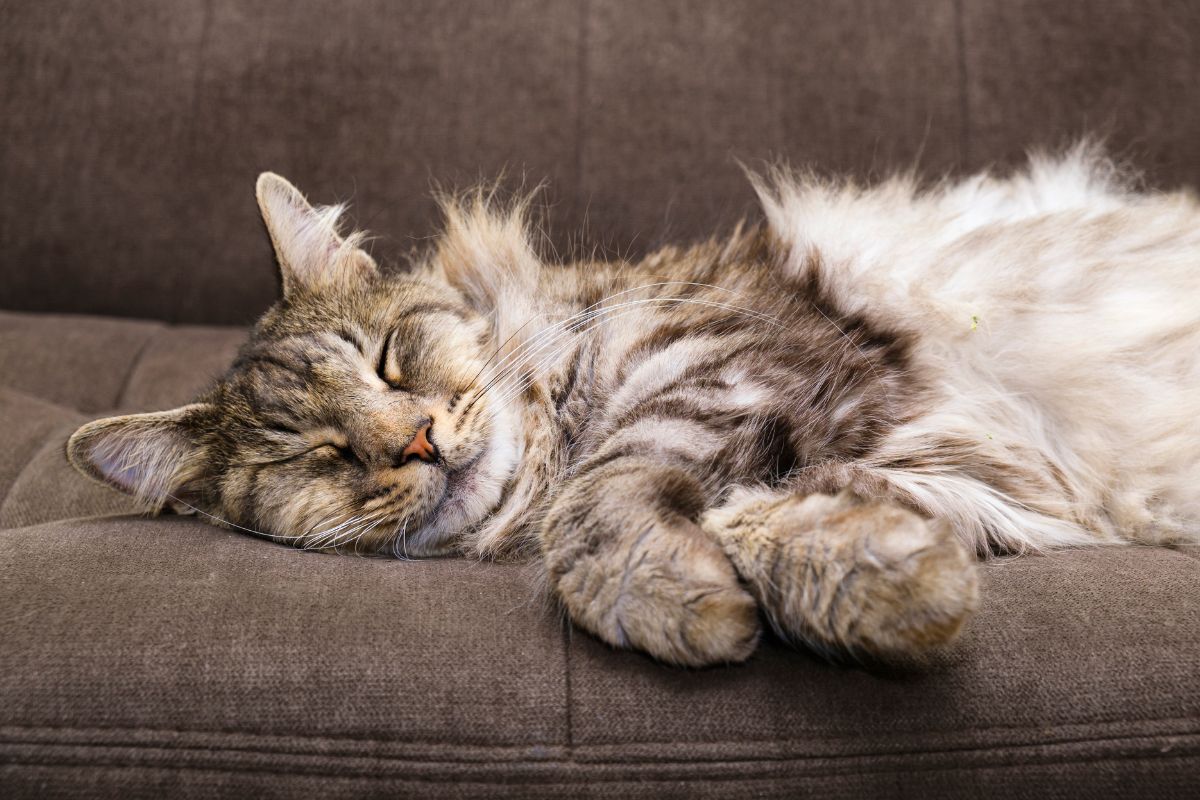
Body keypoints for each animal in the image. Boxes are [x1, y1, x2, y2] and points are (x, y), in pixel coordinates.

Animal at [65, 145, 1200, 671]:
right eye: (321, 456)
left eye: (388, 362)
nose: (417, 440)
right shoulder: (963, 468)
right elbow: (760, 516)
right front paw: (886, 583)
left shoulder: (732, 362)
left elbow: (608, 498)